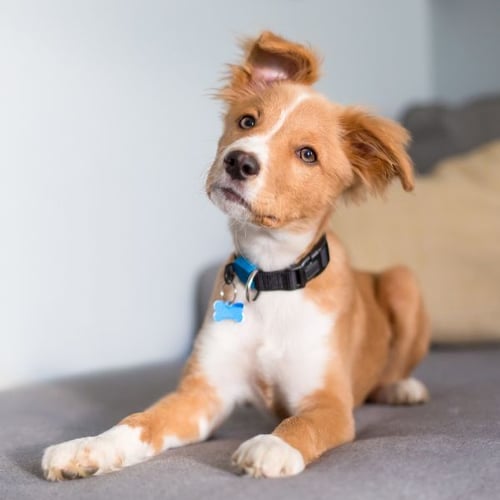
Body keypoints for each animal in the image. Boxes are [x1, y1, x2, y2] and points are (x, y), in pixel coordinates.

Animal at [42, 31, 430, 480]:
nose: (239, 161)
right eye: (248, 121)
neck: (271, 276)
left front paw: (273, 446)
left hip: (404, 281)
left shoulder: (329, 403)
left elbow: (301, 424)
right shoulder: (201, 395)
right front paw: (87, 447)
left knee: (395, 365)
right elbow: (139, 421)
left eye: (308, 154)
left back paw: (401, 387)